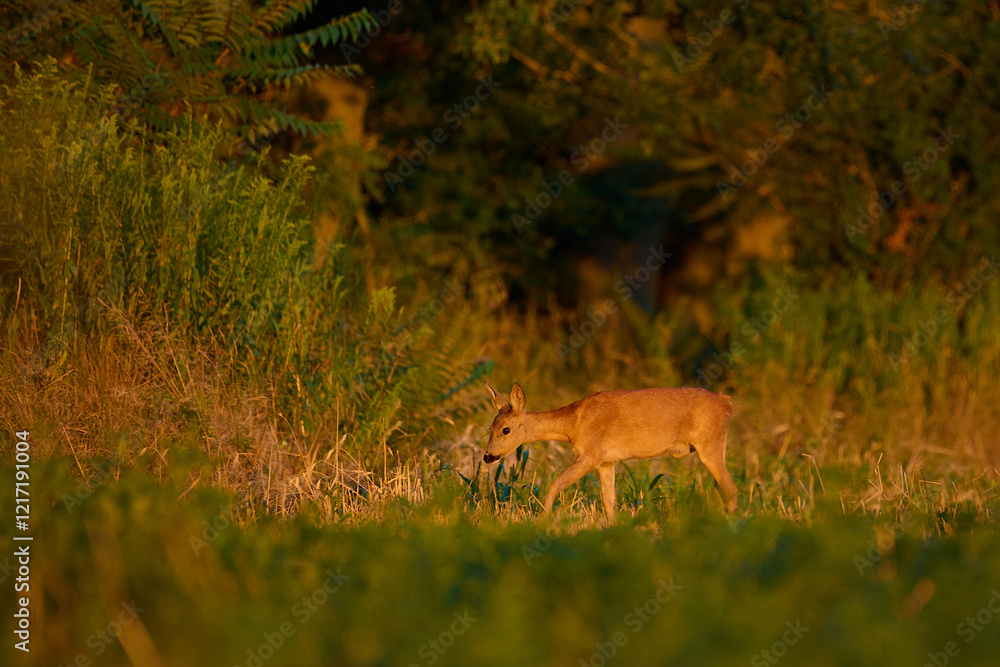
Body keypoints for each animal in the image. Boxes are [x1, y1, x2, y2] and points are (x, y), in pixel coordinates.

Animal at [483, 382, 738, 519]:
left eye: (506, 430)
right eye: (490, 427)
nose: (487, 456)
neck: (572, 424)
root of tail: (727, 404)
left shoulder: (591, 454)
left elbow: (556, 483)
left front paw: (543, 519)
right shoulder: (607, 461)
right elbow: (608, 501)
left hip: (709, 444)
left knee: (732, 489)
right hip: (719, 445)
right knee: (722, 489)